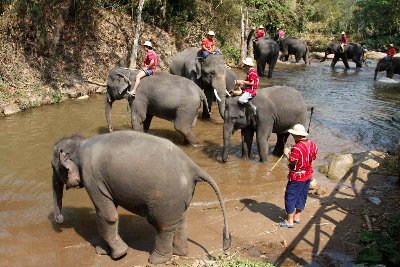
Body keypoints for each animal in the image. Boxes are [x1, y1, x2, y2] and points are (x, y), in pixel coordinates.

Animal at [50, 131, 231, 264]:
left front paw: (118, 254)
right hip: (182, 196)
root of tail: (193, 167)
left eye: (53, 167)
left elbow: (107, 215)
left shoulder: (92, 178)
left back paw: (156, 260)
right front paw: (102, 251)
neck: (81, 143)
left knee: (163, 225)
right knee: (180, 221)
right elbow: (107, 211)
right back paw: (180, 253)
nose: (59, 219)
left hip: (166, 198)